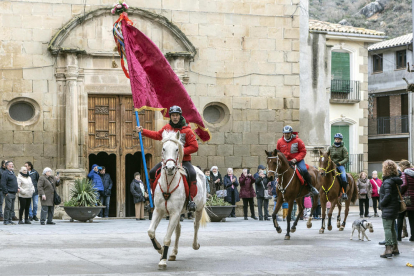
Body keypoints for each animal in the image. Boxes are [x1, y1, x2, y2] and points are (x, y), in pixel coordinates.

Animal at [147, 130, 210, 270]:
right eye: (163, 148)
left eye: (177, 149)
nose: (170, 168)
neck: (168, 184)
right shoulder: (159, 211)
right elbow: (151, 232)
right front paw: (159, 249)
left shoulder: (175, 213)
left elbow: (167, 238)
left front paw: (163, 260)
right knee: (178, 230)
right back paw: (173, 253)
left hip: (199, 208)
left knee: (196, 225)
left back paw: (195, 245)